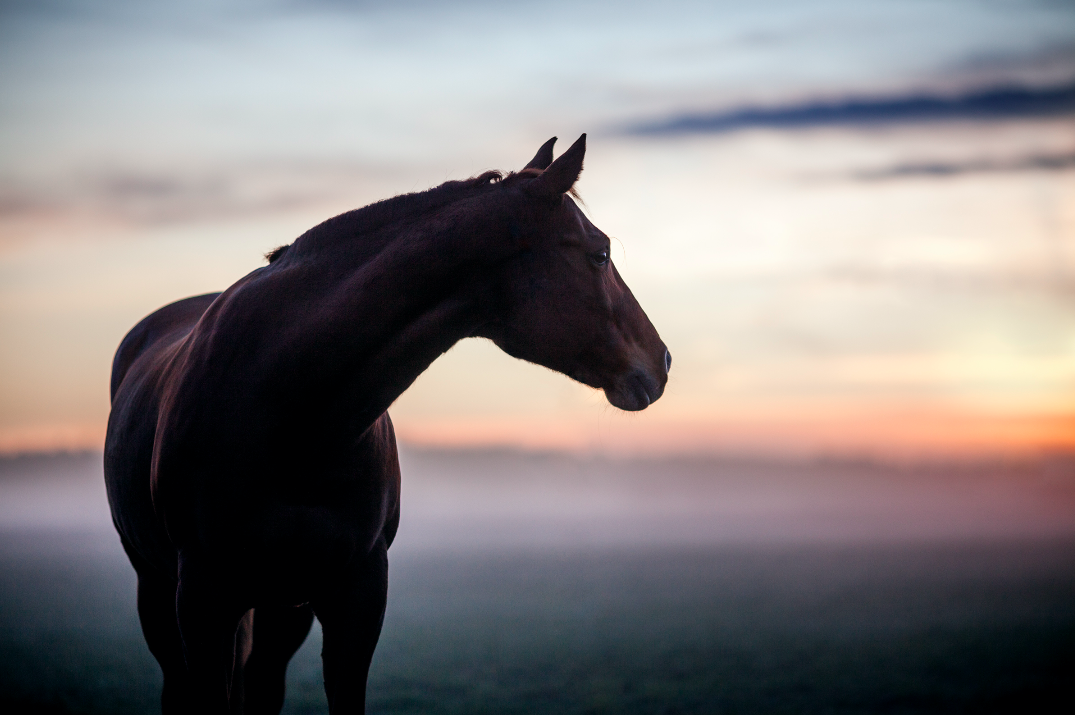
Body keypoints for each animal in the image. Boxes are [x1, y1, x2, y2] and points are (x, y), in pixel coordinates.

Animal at [102, 132, 670, 709]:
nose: (662, 361)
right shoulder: (202, 601)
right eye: (600, 254)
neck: (291, 412)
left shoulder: (357, 593)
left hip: (281, 610)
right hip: (162, 594)